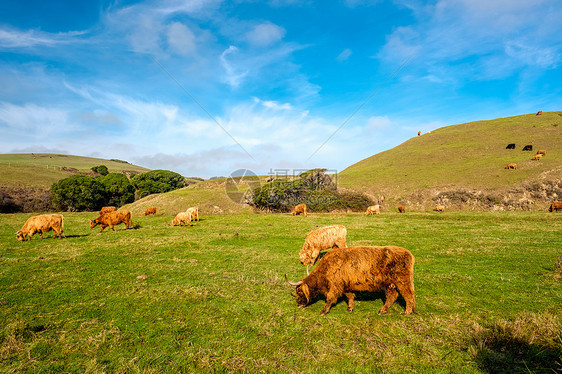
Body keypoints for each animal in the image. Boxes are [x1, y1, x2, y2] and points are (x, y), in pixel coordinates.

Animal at [284, 245, 412, 316]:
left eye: (299, 291)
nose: (298, 304)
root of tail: (408, 253)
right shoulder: (346, 285)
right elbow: (350, 297)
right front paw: (350, 309)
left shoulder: (336, 286)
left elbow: (330, 298)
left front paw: (323, 311)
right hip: (389, 284)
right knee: (392, 296)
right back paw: (382, 311)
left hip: (403, 282)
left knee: (408, 296)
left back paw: (407, 312)